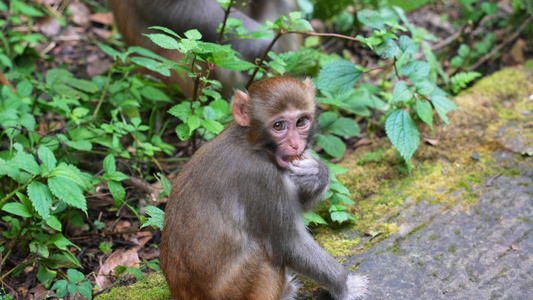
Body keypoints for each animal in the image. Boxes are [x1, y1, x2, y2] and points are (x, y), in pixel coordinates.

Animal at [159, 76, 366, 298]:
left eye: (301, 122)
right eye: (278, 126)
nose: (295, 145)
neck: (254, 145)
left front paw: (317, 174)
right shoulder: (261, 177)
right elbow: (287, 245)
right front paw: (346, 287)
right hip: (236, 289)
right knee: (264, 254)